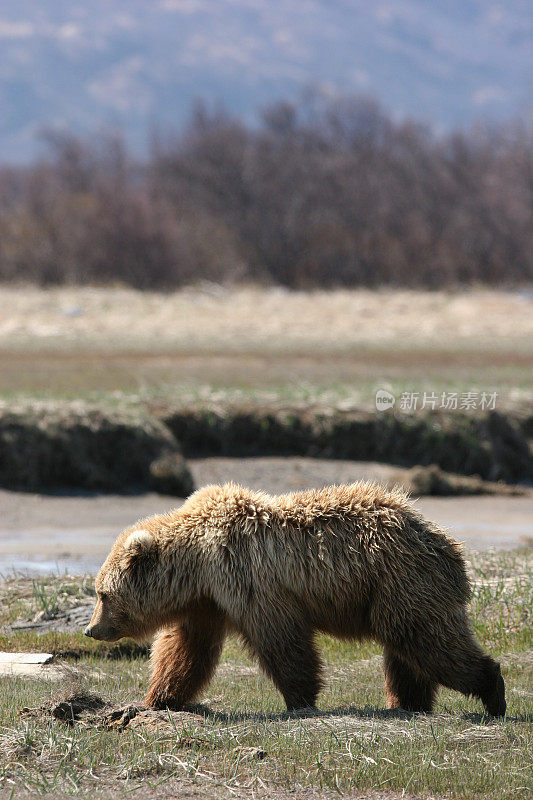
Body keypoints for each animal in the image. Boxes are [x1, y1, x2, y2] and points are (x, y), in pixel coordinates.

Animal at [85, 484, 504, 716]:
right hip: (394, 592)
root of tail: (449, 545)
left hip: (402, 580)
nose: (91, 629)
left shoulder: (249, 579)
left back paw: (492, 691)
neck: (197, 566)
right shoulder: (208, 604)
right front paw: (159, 698)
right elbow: (186, 651)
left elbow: (283, 641)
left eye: (102, 594)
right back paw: (408, 702)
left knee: (428, 642)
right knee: (407, 654)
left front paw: (300, 699)